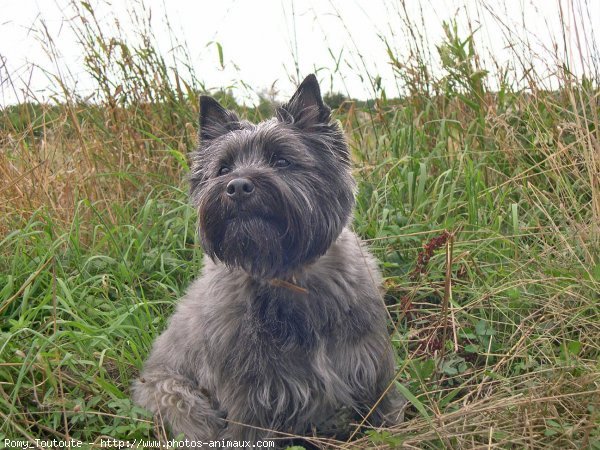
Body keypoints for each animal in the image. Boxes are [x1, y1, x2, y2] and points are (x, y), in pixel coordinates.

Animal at [134, 74, 406, 446]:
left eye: (281, 160)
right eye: (223, 168)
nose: (236, 186)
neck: (288, 276)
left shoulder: (370, 365)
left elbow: (383, 407)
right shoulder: (250, 398)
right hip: (180, 398)